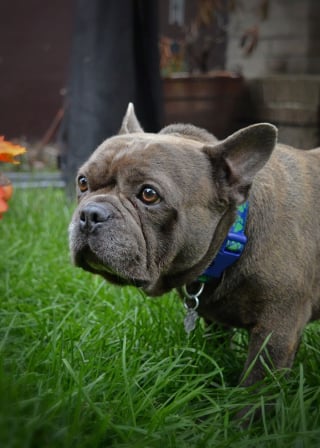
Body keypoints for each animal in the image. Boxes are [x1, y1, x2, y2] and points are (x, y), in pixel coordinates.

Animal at [69, 103, 320, 394]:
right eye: (83, 182)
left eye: (149, 194)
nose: (90, 214)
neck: (235, 236)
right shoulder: (215, 320)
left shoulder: (277, 330)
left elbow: (257, 383)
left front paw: (245, 407)